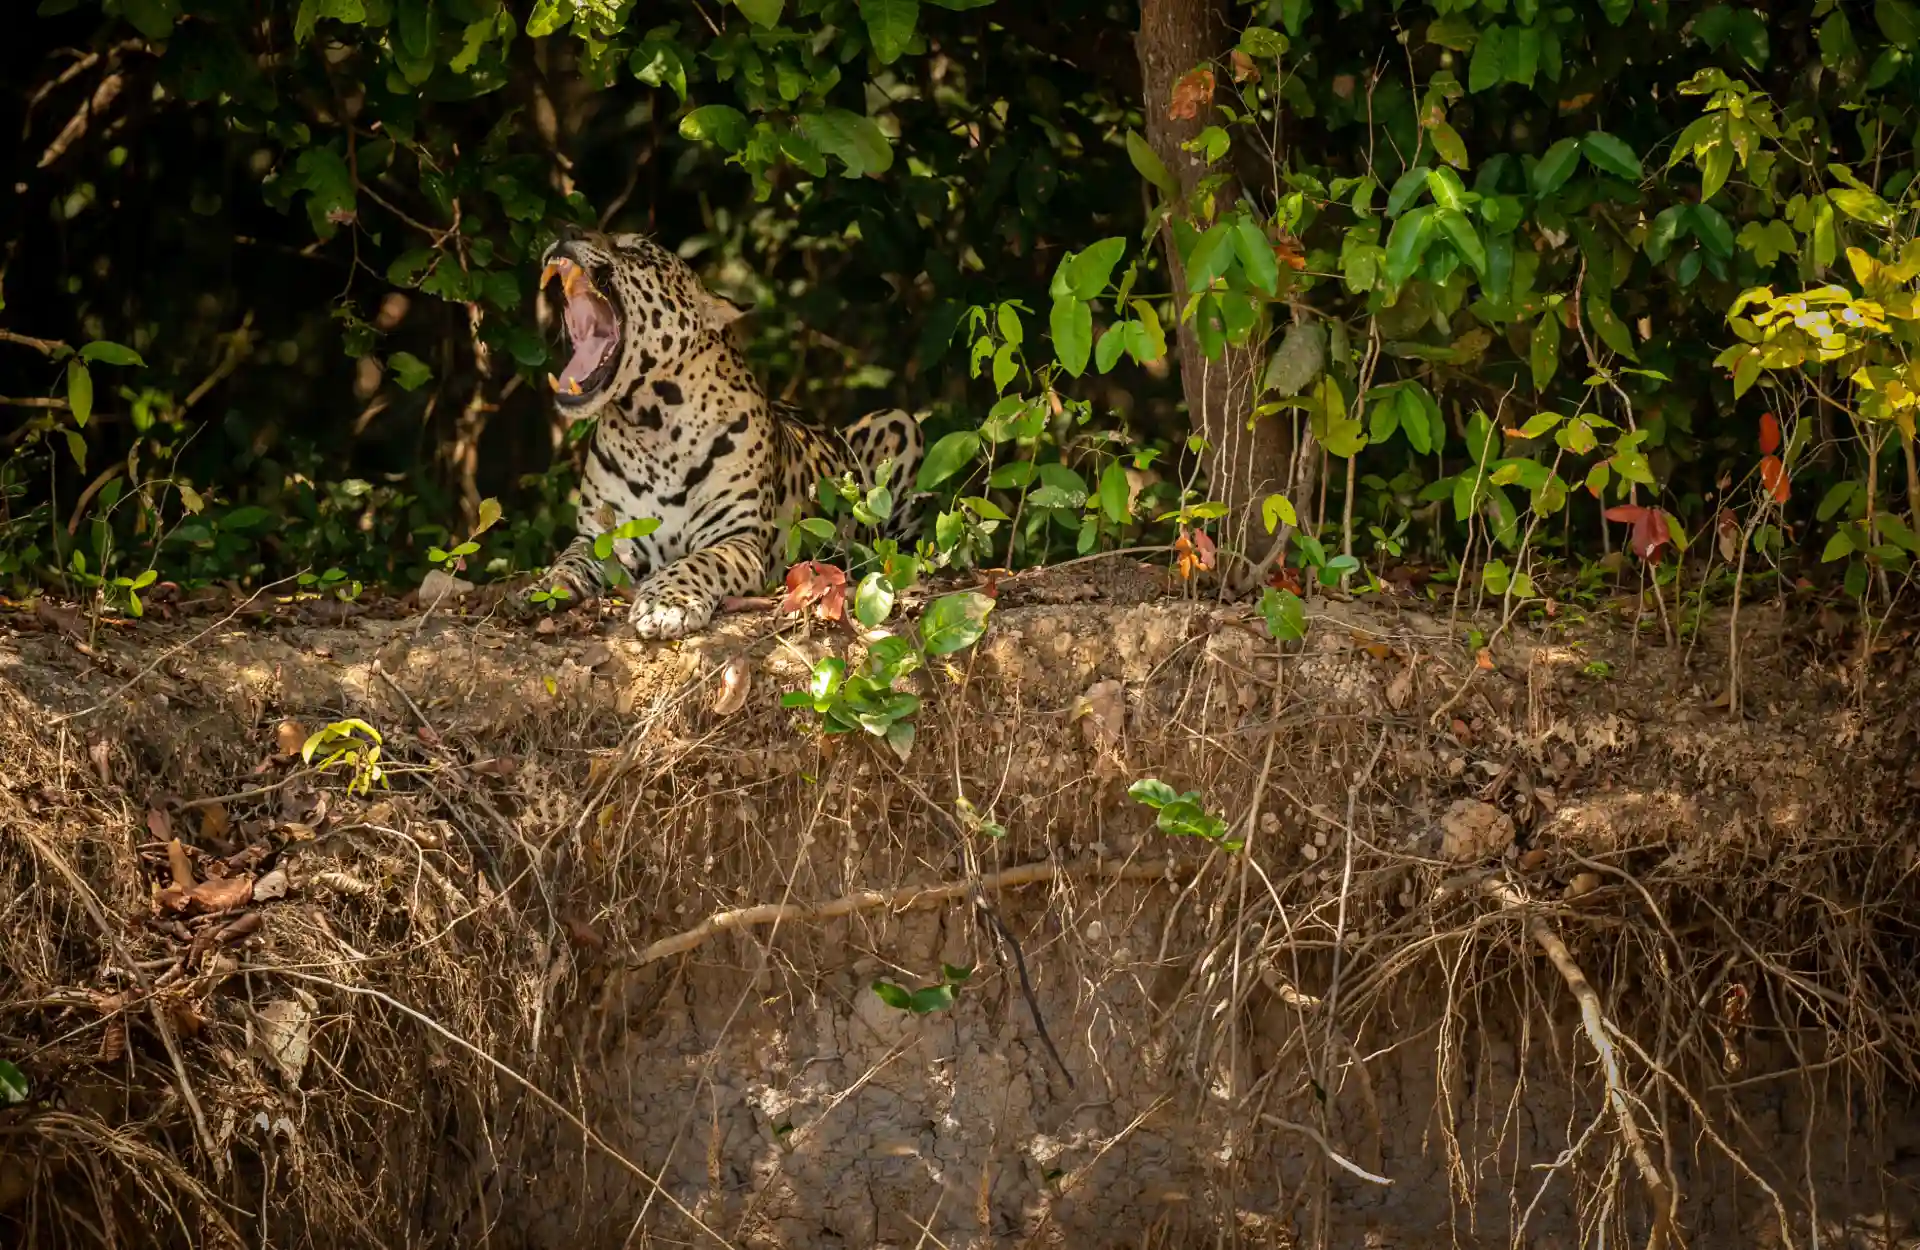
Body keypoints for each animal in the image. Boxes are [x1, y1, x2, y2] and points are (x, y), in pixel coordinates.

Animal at [520, 226, 924, 640]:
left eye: (636, 250)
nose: (567, 231)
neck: (650, 429)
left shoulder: (737, 538)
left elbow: (700, 561)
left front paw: (666, 603)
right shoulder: (599, 537)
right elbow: (570, 558)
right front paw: (545, 586)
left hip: (897, 421)